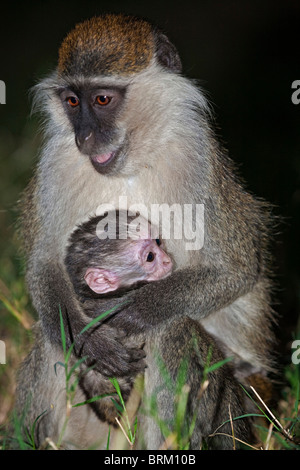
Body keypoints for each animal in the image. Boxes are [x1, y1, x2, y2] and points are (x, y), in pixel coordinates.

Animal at [17, 13, 274, 448]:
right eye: (72, 102)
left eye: (102, 100)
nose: (84, 136)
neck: (133, 160)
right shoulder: (56, 161)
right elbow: (44, 265)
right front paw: (90, 338)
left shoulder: (198, 158)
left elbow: (235, 271)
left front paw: (128, 314)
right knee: (52, 340)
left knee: (171, 330)